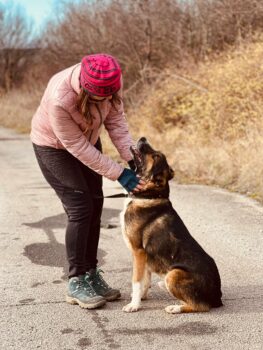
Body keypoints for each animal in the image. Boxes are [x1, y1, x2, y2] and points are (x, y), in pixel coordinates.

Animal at [120, 137, 224, 314]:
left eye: (155, 156)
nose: (143, 138)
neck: (149, 195)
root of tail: (217, 297)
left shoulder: (138, 252)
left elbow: (137, 281)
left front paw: (134, 305)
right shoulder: (145, 257)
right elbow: (145, 281)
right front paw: (140, 299)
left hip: (173, 274)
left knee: (200, 306)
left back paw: (175, 307)